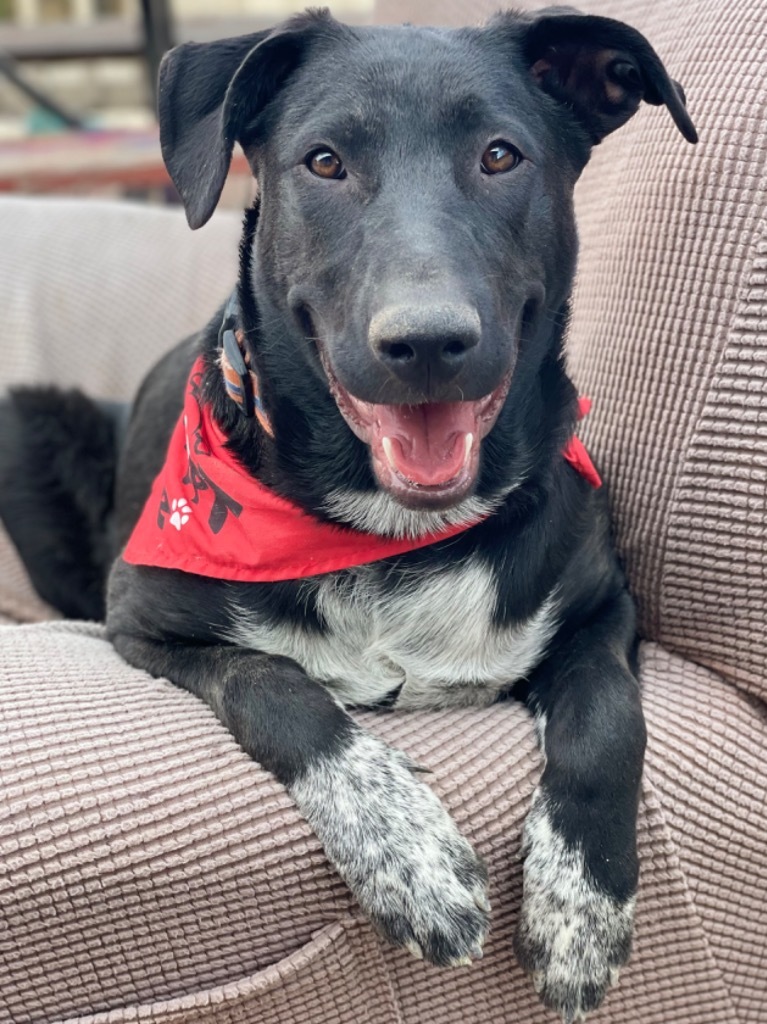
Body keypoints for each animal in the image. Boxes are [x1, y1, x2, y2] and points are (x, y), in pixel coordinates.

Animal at [0, 9, 692, 1024]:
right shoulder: (142, 620)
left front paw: (580, 909)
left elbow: (609, 721)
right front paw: (409, 857)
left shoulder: (604, 608)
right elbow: (279, 687)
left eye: (500, 155)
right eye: (323, 162)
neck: (384, 534)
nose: (427, 341)